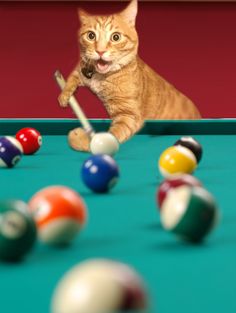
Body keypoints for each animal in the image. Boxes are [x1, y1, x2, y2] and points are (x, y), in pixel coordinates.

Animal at [58, 0, 200, 151]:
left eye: (116, 37)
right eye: (91, 36)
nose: (100, 51)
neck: (101, 77)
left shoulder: (129, 116)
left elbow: (109, 136)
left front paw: (84, 139)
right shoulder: (81, 69)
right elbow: (71, 79)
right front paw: (64, 95)